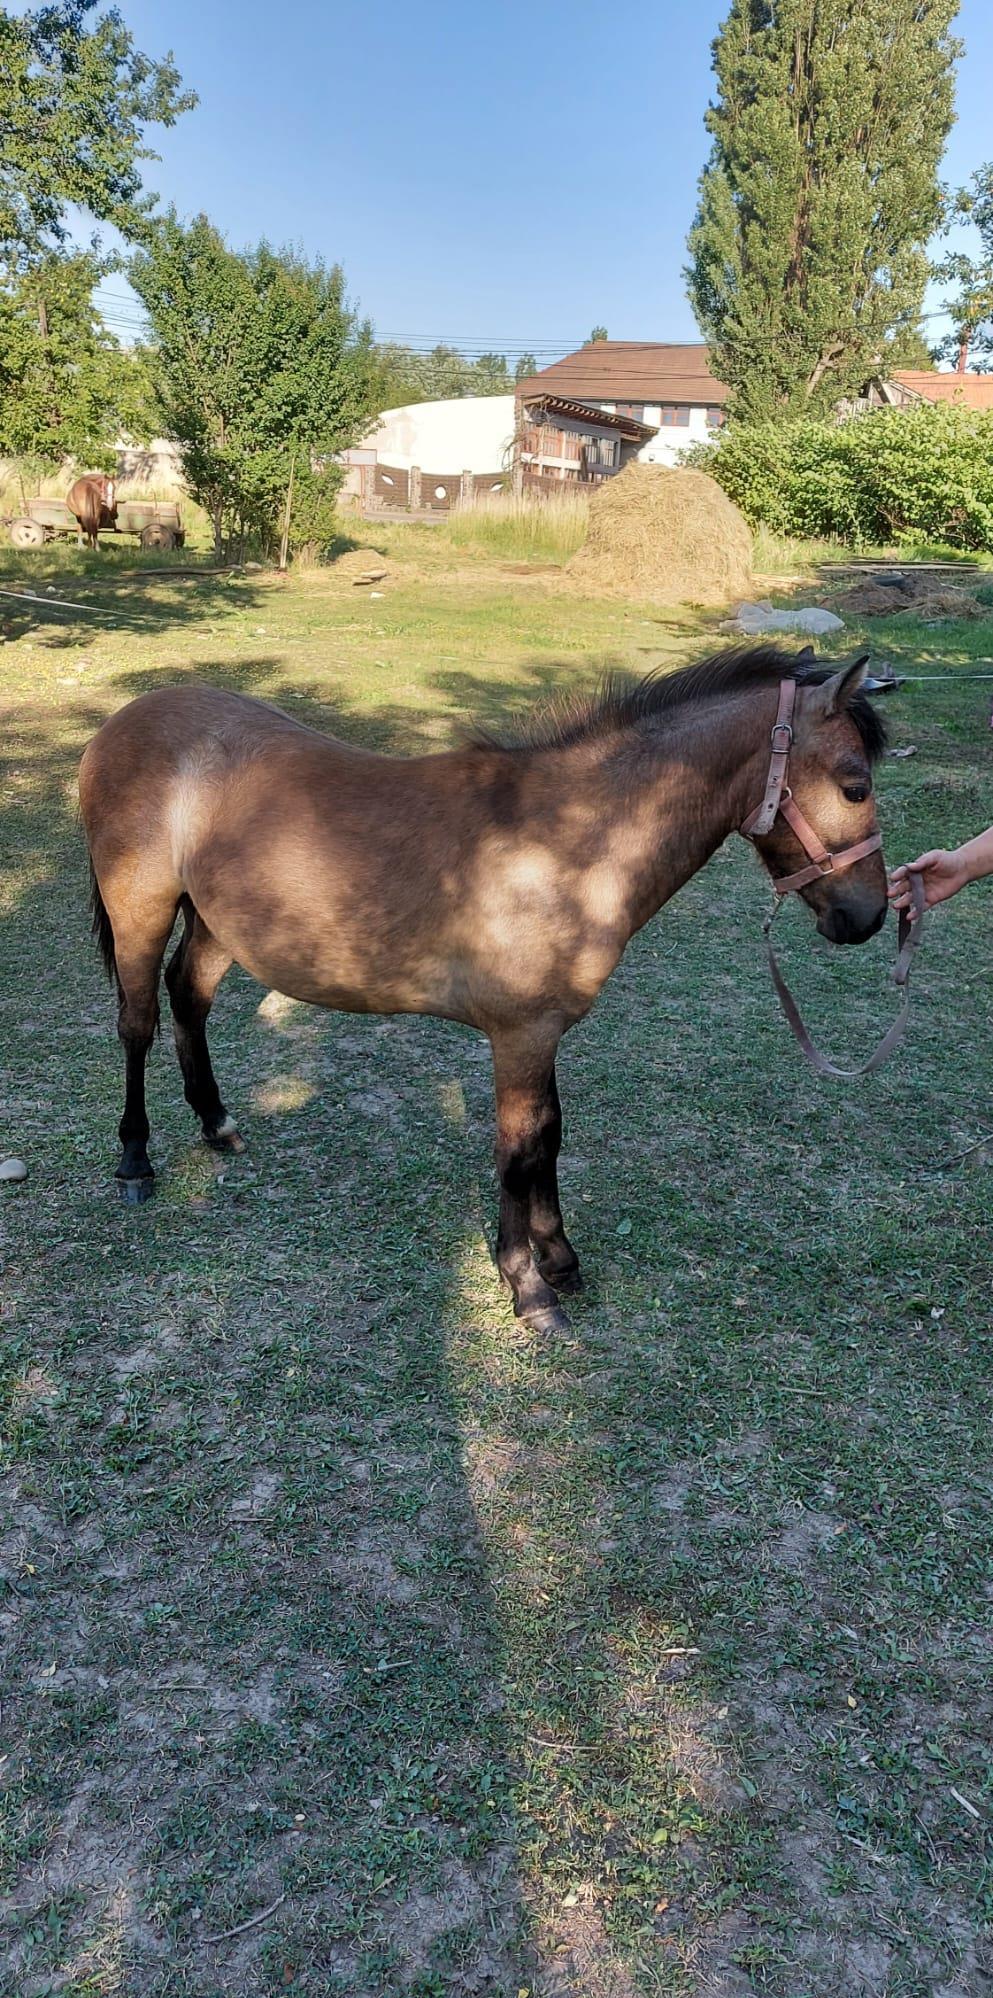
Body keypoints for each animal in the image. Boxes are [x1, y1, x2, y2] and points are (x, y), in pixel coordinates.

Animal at [78, 644, 888, 1333]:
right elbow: (518, 1152)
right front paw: (527, 1286)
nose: (869, 916)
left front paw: (558, 1260)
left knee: (188, 998)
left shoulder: (541, 1033)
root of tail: (122, 722)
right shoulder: (518, 1034)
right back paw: (135, 1162)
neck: (566, 844)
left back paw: (216, 1124)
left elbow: (548, 1136)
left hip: (219, 923)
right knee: (137, 1022)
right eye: (856, 784)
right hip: (140, 908)